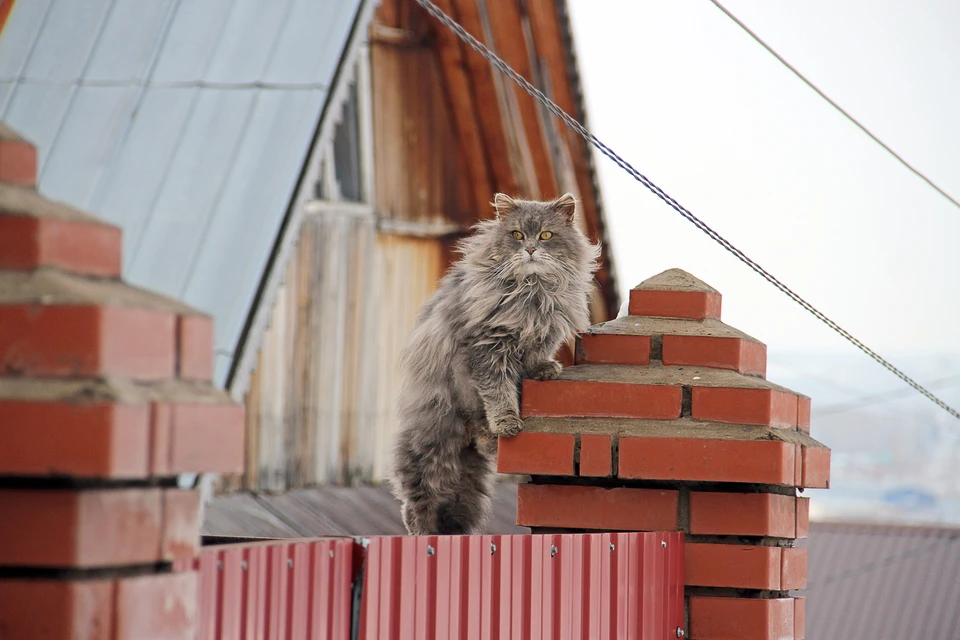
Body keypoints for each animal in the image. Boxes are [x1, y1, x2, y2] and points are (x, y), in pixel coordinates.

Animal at [390, 194, 600, 536]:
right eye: (517, 235)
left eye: (546, 235)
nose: (530, 249)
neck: (532, 290)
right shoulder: (488, 349)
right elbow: (499, 393)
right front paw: (507, 423)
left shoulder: (543, 334)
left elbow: (535, 357)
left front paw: (545, 369)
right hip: (435, 438)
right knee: (418, 499)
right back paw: (422, 533)